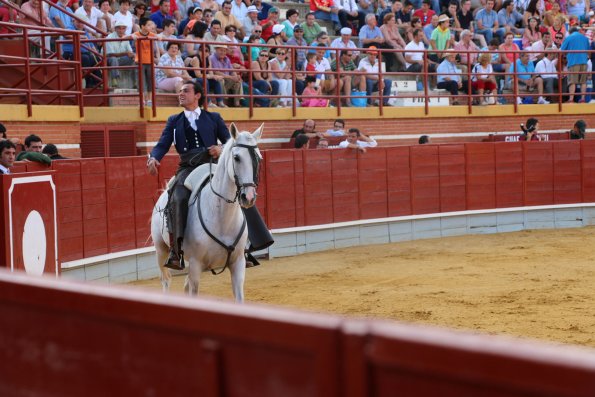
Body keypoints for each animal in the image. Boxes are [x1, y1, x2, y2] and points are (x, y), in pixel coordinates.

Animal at [152, 122, 264, 302]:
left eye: (258, 158)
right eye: (236, 157)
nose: (248, 197)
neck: (222, 216)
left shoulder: (238, 263)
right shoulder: (196, 264)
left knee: (184, 284)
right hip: (161, 249)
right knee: (166, 279)